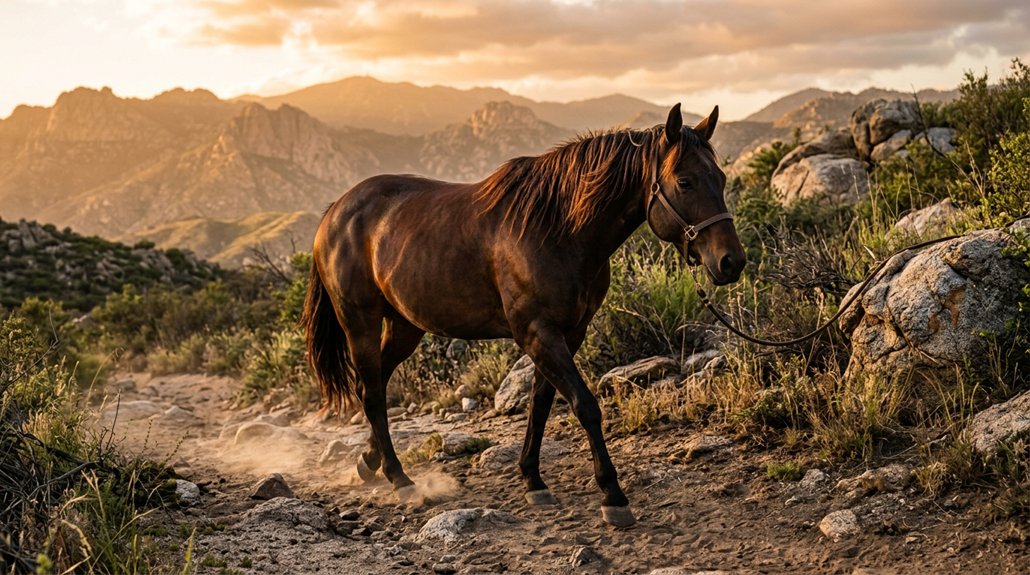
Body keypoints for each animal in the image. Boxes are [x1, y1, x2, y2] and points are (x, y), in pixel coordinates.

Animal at [302, 104, 745, 527]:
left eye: (721, 178)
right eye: (685, 181)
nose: (731, 262)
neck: (558, 229)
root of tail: (334, 213)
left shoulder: (568, 333)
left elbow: (541, 404)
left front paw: (533, 479)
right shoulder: (538, 333)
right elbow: (585, 406)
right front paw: (613, 495)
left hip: (404, 327)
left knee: (374, 385)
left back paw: (370, 462)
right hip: (359, 323)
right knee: (372, 393)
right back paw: (400, 479)